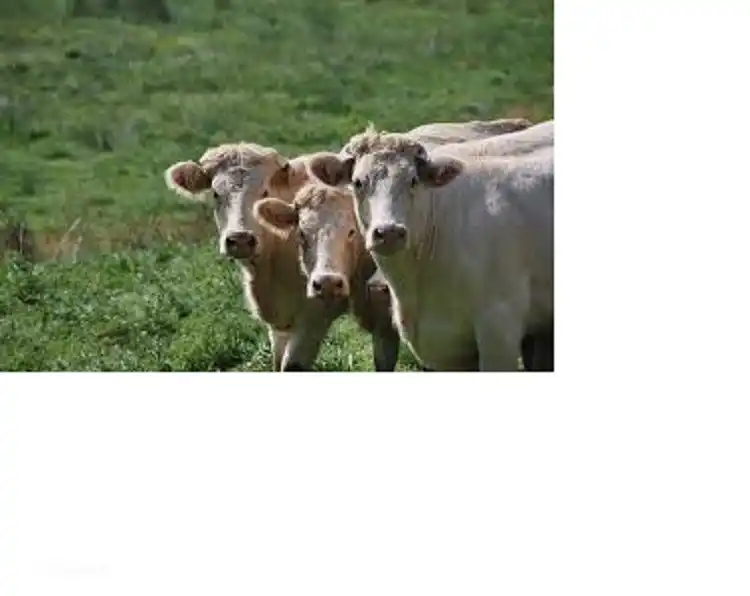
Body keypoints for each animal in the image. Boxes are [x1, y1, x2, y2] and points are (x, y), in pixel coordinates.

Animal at [163, 142, 400, 371]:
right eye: (215, 194)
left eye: (265, 191)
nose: (240, 239)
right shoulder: (279, 327)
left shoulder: (315, 317)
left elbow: (292, 365)